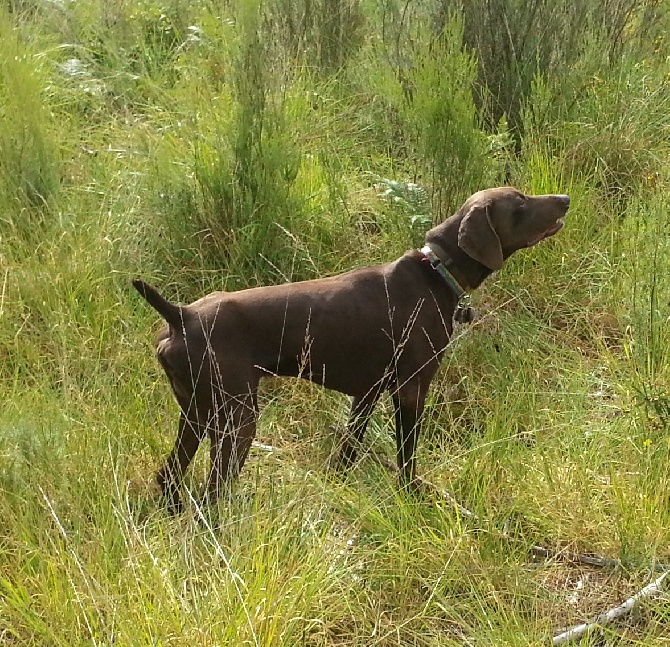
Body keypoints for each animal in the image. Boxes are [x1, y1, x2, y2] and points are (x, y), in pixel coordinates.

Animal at [134, 186, 568, 512]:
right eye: (520, 202)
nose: (564, 199)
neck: (436, 272)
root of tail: (181, 315)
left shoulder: (366, 393)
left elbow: (347, 452)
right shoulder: (410, 389)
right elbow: (406, 456)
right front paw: (411, 496)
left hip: (197, 412)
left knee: (169, 475)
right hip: (236, 416)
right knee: (213, 490)